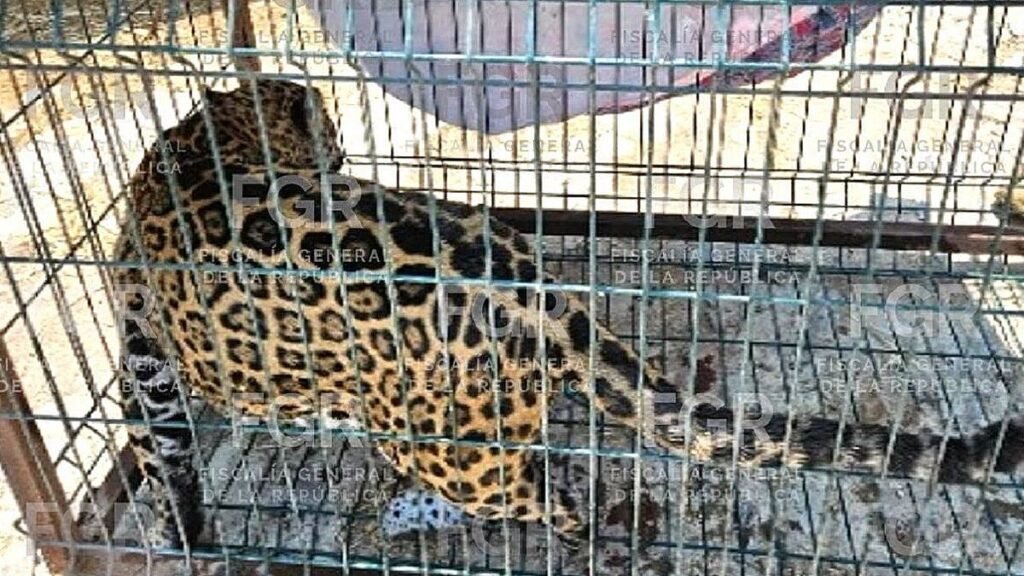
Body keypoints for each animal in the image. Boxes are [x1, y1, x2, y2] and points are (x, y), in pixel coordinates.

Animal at [114, 78, 1024, 552]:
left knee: (551, 500)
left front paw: (183, 534)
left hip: (449, 451)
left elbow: (164, 459)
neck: (209, 137)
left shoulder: (142, 357)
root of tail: (545, 301)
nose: (337, 148)